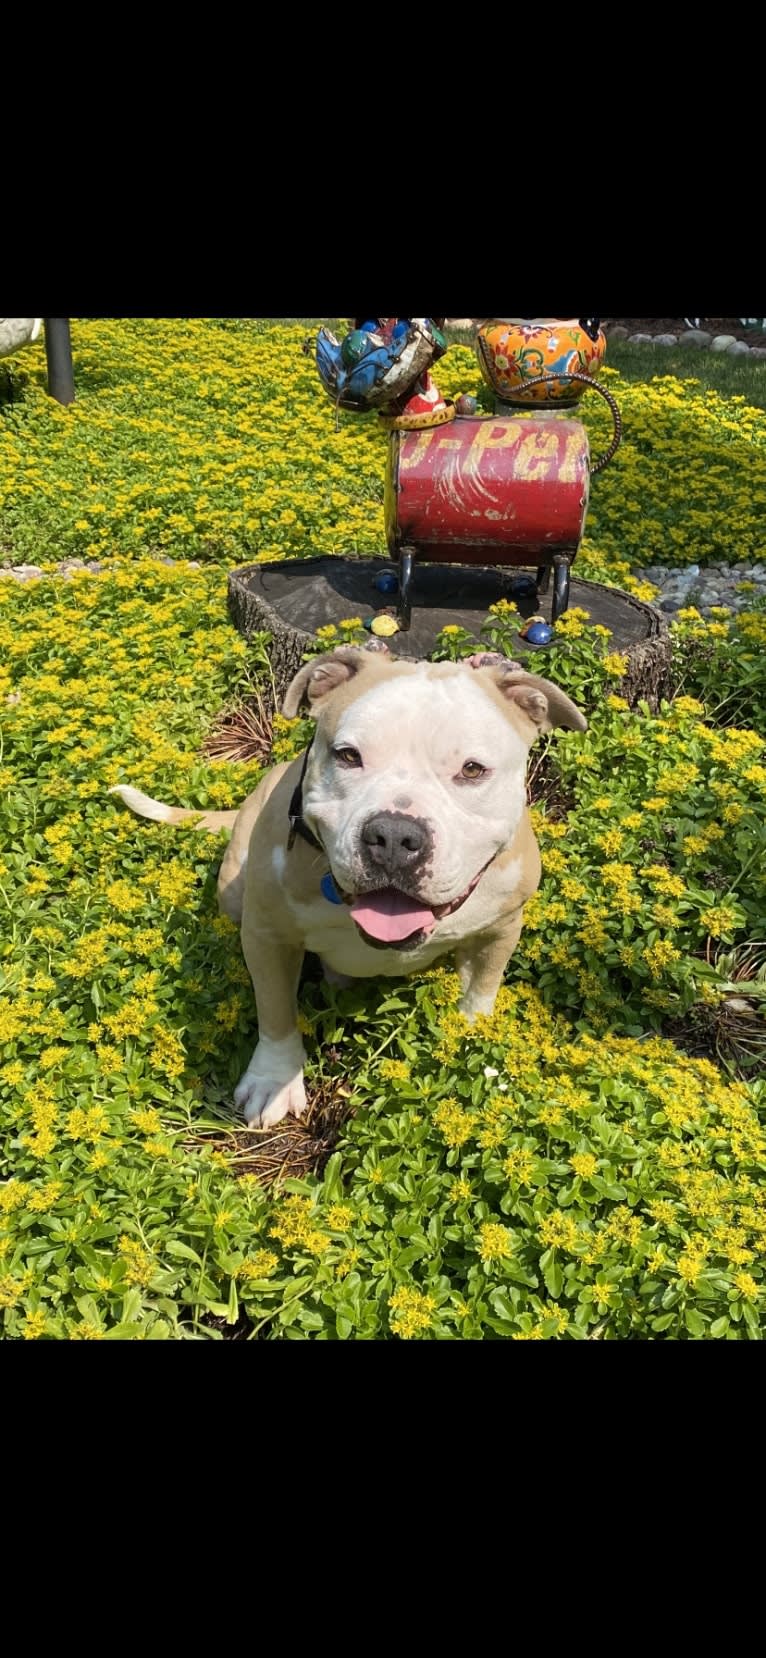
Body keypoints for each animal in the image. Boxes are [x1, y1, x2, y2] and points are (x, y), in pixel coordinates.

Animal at [111, 643, 583, 1127]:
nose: (394, 836)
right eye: (348, 755)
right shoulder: (268, 935)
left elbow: (480, 991)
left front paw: (472, 1042)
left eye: (472, 770)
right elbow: (275, 1010)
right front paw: (272, 1080)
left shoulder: (500, 928)